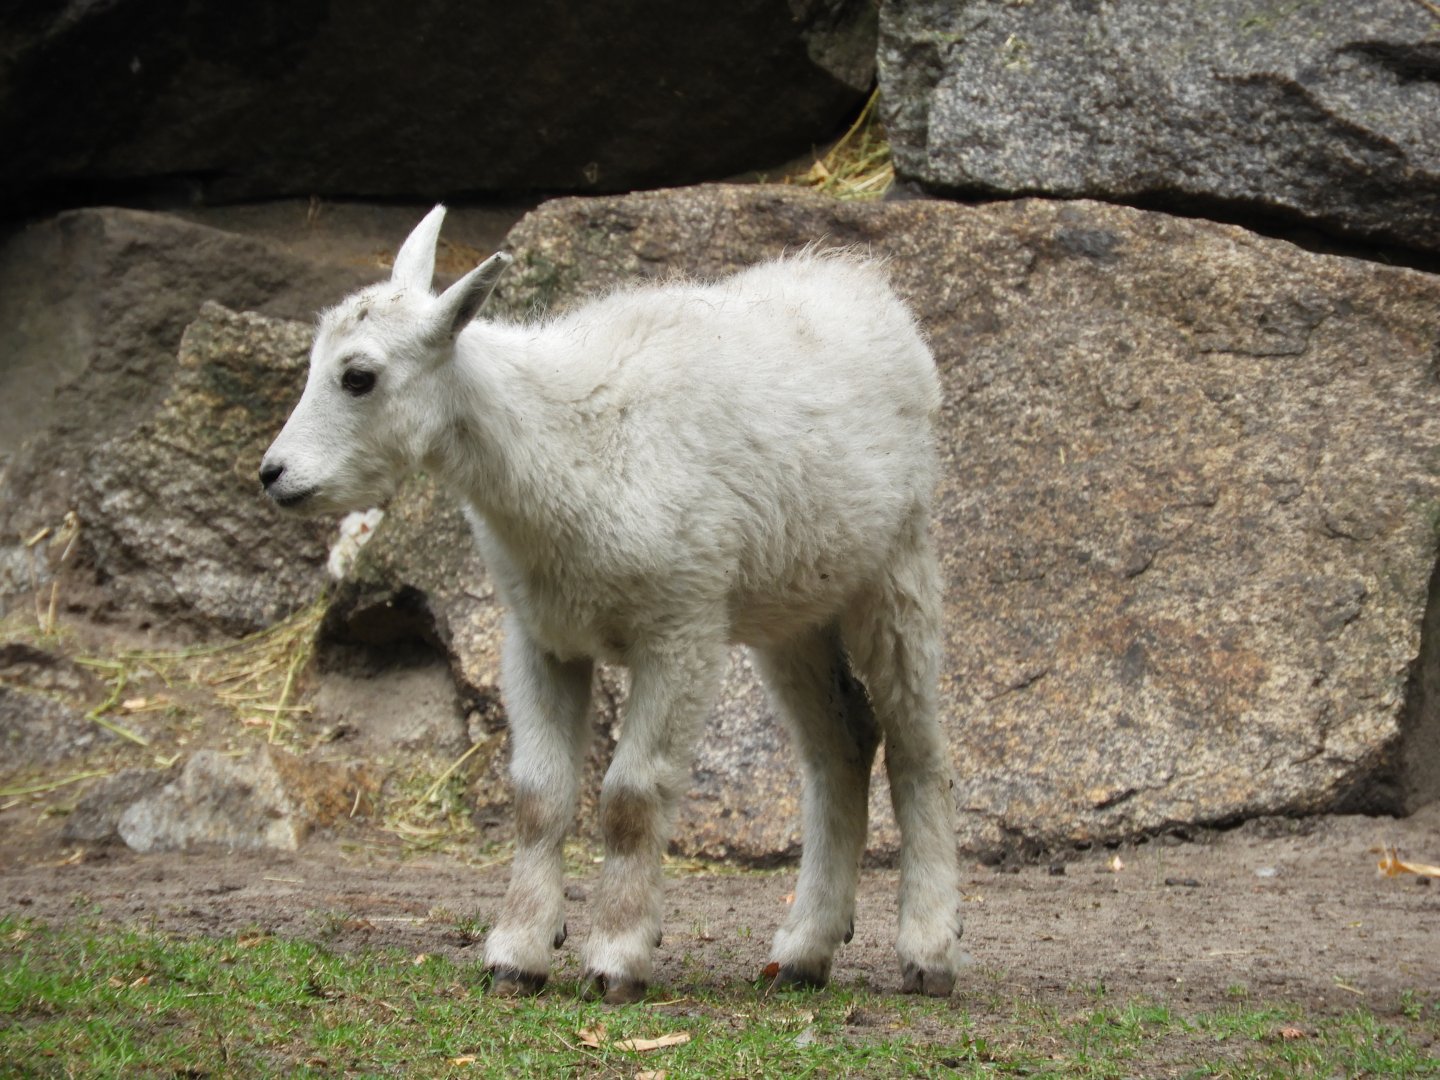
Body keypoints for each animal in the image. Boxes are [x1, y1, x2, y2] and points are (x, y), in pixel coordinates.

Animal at [261, 206, 964, 1002]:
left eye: (359, 377)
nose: (273, 475)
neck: (560, 442)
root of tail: (858, 279)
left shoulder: (681, 627)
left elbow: (632, 798)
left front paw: (619, 956)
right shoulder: (539, 634)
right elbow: (537, 797)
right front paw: (518, 953)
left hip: (897, 564)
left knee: (917, 746)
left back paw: (928, 948)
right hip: (795, 603)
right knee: (840, 744)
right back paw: (804, 949)